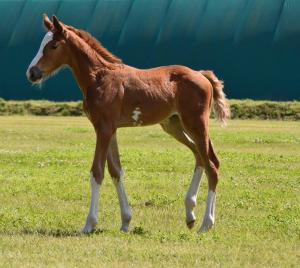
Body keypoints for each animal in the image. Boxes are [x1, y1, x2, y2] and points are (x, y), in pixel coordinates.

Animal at [27, 14, 231, 233]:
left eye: (54, 45)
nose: (32, 73)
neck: (99, 77)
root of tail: (202, 75)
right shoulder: (110, 129)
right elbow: (116, 171)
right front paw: (126, 221)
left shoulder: (104, 129)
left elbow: (97, 172)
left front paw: (89, 224)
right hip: (174, 125)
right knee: (200, 156)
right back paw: (190, 214)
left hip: (196, 123)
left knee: (212, 165)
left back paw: (206, 223)